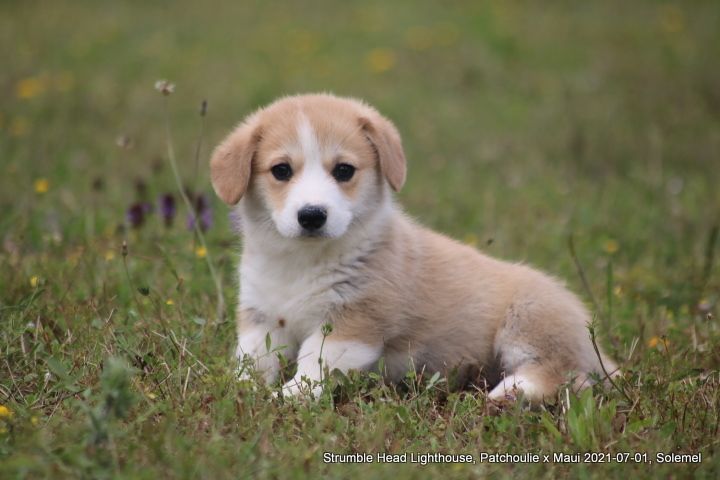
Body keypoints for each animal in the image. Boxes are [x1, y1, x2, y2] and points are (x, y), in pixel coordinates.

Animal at [209, 93, 617, 402]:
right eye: (281, 170)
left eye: (343, 171)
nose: (312, 215)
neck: (302, 262)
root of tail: (596, 350)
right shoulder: (261, 318)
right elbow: (252, 359)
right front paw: (238, 390)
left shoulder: (351, 324)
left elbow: (314, 365)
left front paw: (288, 397)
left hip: (530, 321)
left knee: (565, 375)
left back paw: (508, 393)